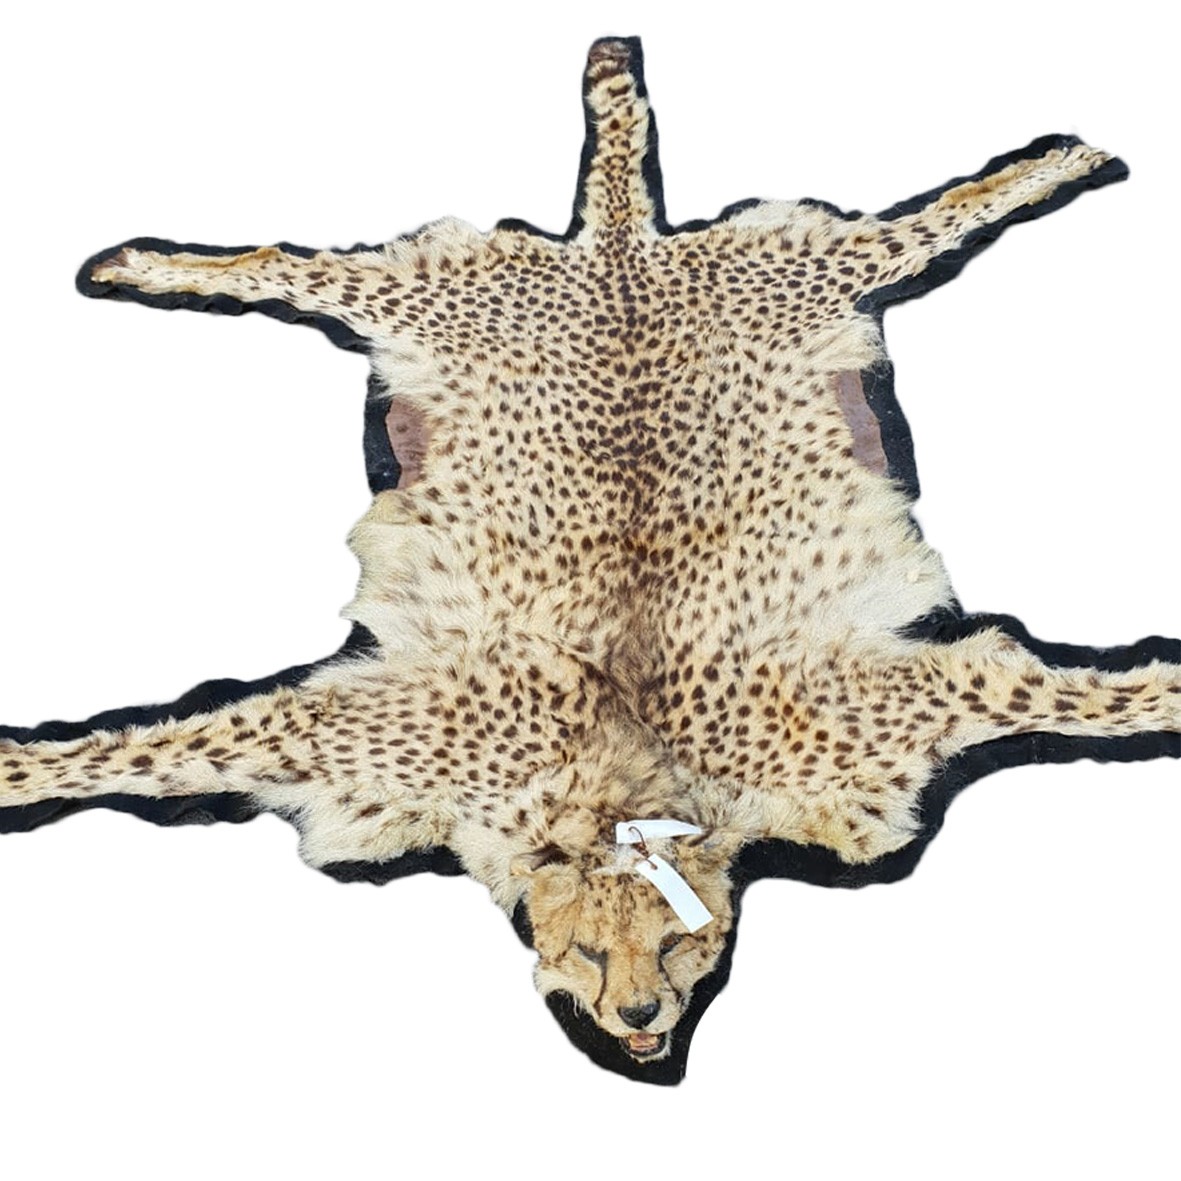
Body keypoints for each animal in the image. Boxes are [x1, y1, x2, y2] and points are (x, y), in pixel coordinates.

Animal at [1, 37, 1177, 1081]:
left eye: (676, 942)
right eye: (581, 952)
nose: (641, 1017)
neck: (617, 784)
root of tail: (619, 252)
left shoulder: (905, 708)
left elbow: (1096, 699)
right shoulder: (348, 740)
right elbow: (149, 749)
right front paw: (22, 767)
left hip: (786, 272)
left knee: (922, 226)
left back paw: (1062, 159)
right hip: (445, 289)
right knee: (291, 265)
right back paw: (136, 261)